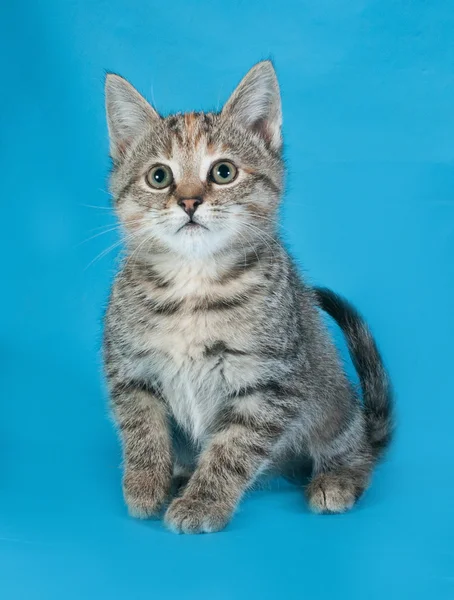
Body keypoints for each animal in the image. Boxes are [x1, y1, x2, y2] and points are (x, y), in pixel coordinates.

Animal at [102, 62, 390, 536]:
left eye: (223, 172)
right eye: (159, 177)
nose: (189, 201)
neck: (193, 285)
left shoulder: (270, 382)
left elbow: (232, 450)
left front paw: (202, 502)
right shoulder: (129, 368)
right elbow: (141, 428)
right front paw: (145, 482)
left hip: (334, 404)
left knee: (357, 449)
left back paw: (338, 477)